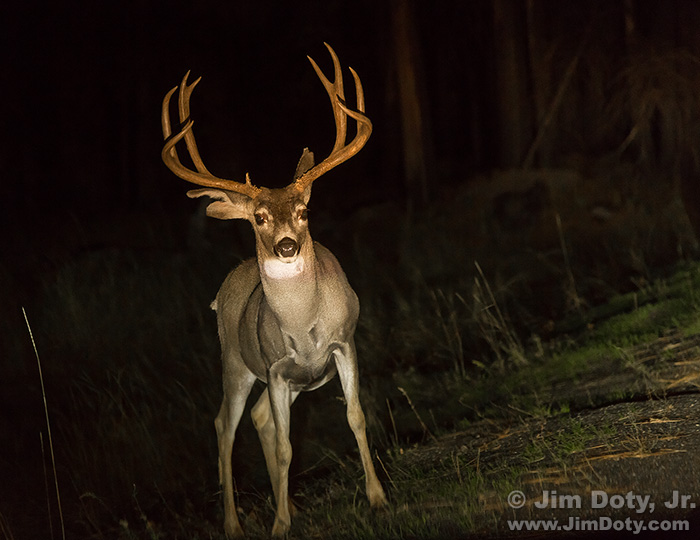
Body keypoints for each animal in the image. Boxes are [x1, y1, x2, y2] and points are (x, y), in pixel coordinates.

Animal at [159, 44, 388, 536]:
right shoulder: (276, 366)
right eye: (259, 217)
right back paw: (233, 523)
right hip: (235, 361)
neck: (304, 328)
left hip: (289, 380)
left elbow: (355, 416)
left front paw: (377, 498)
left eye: (304, 210)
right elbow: (285, 446)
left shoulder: (344, 343)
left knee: (260, 418)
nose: (286, 245)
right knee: (225, 424)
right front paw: (279, 525)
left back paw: (292, 506)